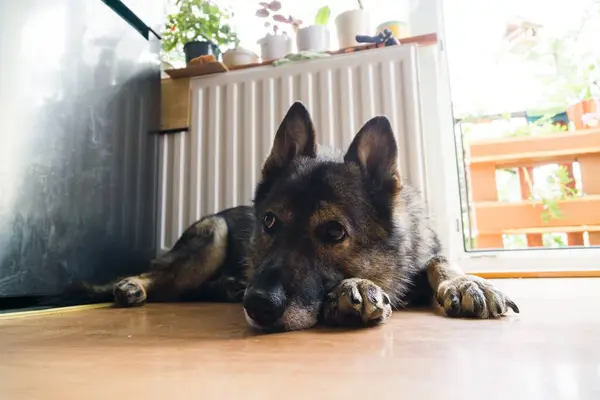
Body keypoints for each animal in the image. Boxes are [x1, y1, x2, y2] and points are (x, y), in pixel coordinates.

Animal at [102, 101, 516, 332]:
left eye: (334, 232)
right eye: (269, 222)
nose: (257, 304)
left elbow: (440, 260)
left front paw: (466, 283)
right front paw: (354, 287)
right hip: (214, 235)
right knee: (166, 278)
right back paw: (133, 284)